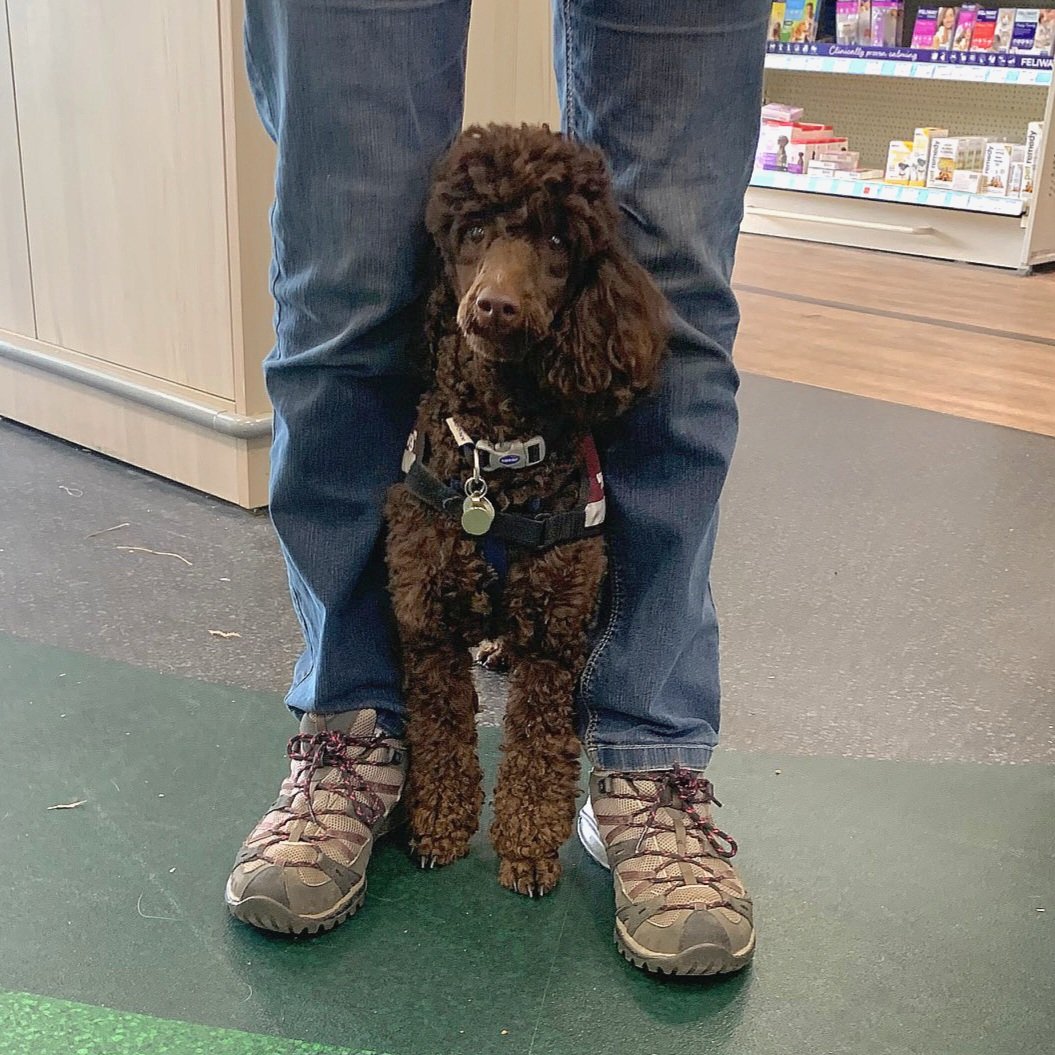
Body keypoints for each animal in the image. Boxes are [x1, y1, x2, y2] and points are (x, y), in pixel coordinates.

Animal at [386, 123, 666, 898]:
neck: (496, 458)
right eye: (475, 230)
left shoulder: (555, 631)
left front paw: (528, 849)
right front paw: (440, 825)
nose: (495, 308)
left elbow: (539, 749)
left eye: (556, 240)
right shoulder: (426, 619)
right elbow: (441, 732)